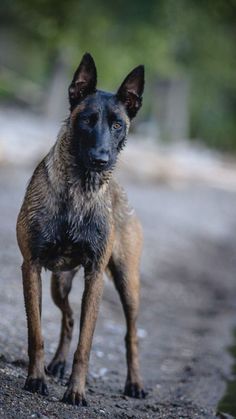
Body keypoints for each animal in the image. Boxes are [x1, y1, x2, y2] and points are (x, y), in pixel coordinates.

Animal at [16, 52, 145, 406]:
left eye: (117, 124)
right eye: (87, 120)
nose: (102, 159)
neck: (80, 190)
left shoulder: (95, 275)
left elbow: (86, 345)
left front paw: (76, 390)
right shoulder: (31, 266)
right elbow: (36, 332)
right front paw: (36, 379)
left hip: (127, 284)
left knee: (131, 335)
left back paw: (135, 383)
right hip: (59, 282)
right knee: (69, 318)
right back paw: (57, 364)